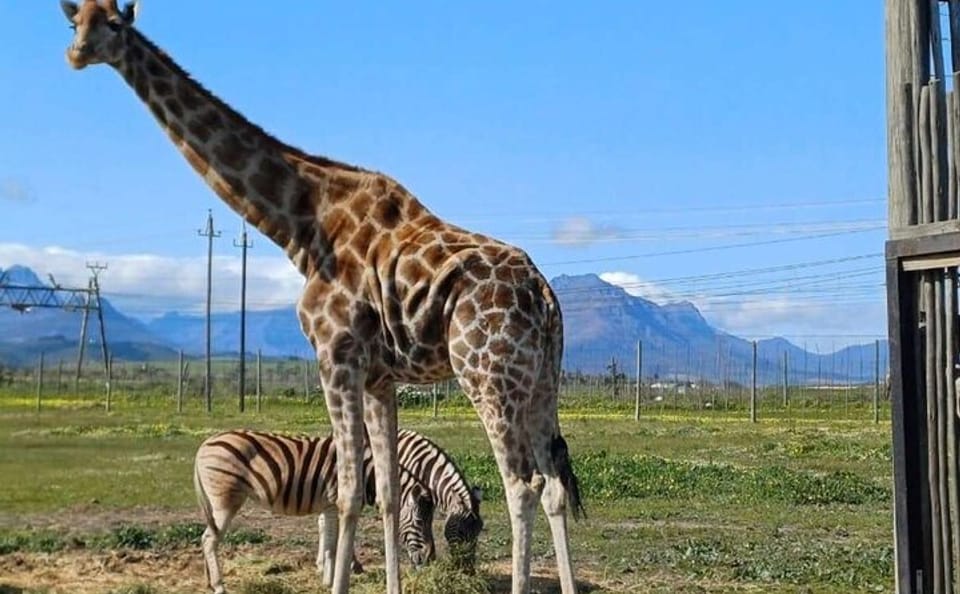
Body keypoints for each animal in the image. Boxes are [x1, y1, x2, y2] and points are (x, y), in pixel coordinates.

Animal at [59, 2, 584, 593]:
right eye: (75, 19)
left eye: (114, 25)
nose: (77, 53)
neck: (302, 225)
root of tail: (544, 294)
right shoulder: (380, 377)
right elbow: (386, 497)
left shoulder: (335, 355)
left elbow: (350, 493)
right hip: (541, 379)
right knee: (555, 485)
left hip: (486, 373)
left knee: (522, 485)